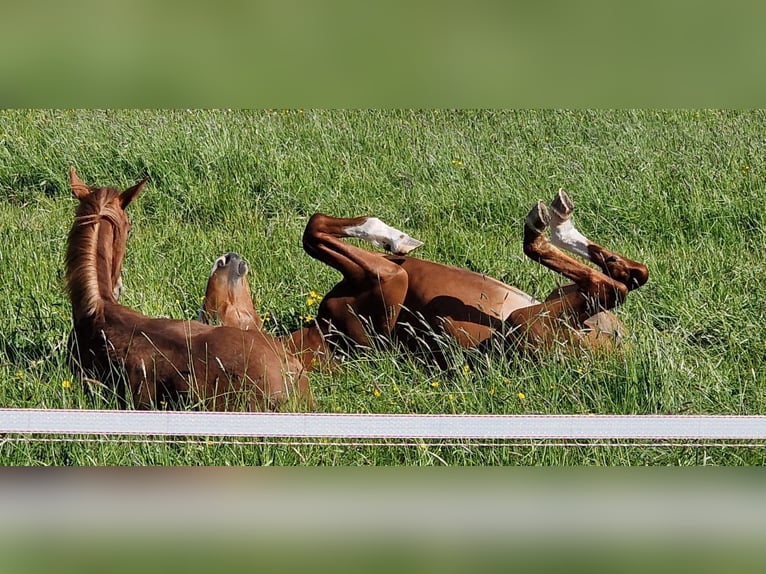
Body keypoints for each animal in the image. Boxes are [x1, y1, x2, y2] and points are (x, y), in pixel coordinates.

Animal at [201, 189, 648, 368]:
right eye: (209, 315)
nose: (224, 259)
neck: (320, 336)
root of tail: (621, 350)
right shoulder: (388, 282)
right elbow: (313, 231)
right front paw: (392, 234)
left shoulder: (385, 271)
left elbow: (314, 228)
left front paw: (394, 237)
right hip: (526, 323)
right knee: (611, 286)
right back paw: (544, 225)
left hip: (554, 294)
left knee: (631, 275)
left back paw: (559, 223)